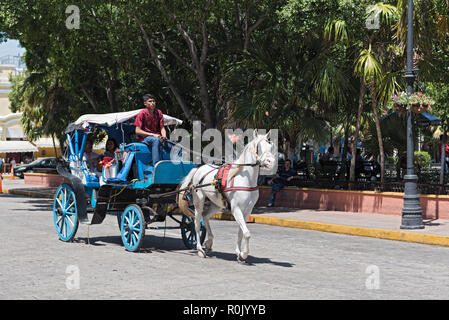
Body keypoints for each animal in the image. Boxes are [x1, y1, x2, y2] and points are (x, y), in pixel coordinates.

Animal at [176, 131, 274, 262]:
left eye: (271, 146)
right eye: (258, 147)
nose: (270, 162)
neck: (245, 179)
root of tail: (198, 168)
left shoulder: (247, 211)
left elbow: (241, 232)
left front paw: (239, 253)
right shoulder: (236, 209)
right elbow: (247, 234)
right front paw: (244, 254)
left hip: (216, 204)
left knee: (205, 216)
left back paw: (209, 242)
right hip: (199, 201)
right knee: (196, 224)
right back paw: (200, 249)